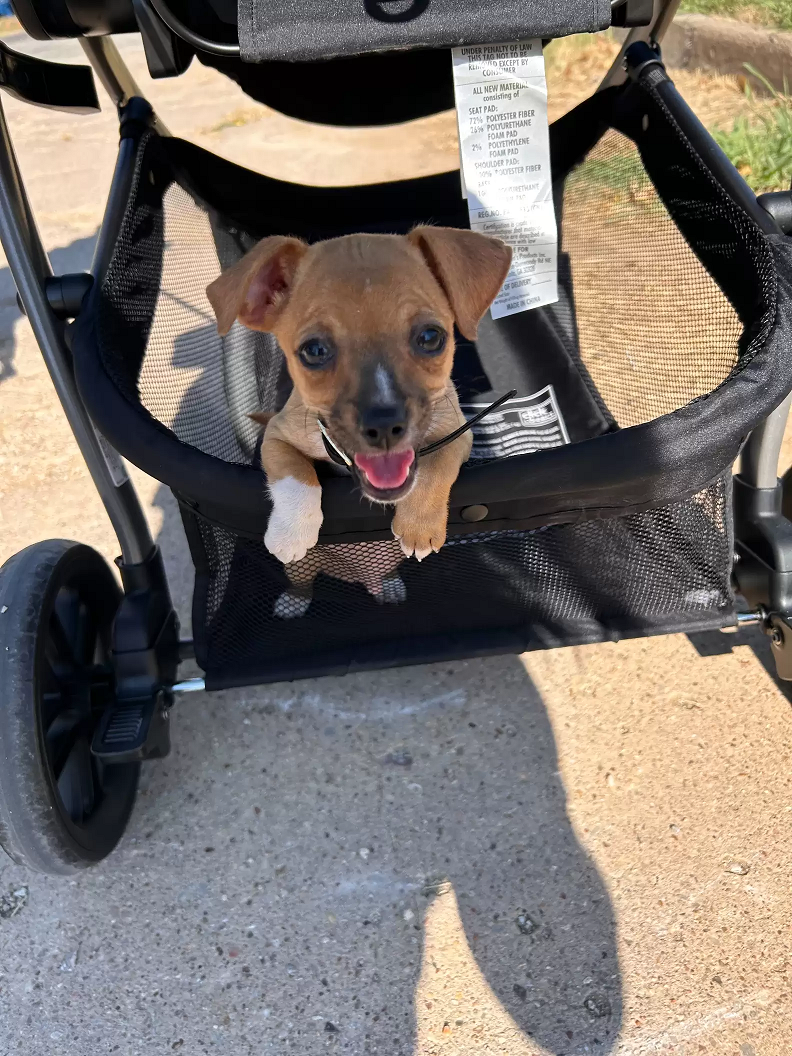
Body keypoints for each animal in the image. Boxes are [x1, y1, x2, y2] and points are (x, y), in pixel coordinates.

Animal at [208, 224, 511, 570]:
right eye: (314, 351)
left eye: (430, 337)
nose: (384, 426)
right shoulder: (277, 437)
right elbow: (295, 476)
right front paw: (291, 531)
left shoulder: (457, 432)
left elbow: (436, 468)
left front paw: (418, 526)